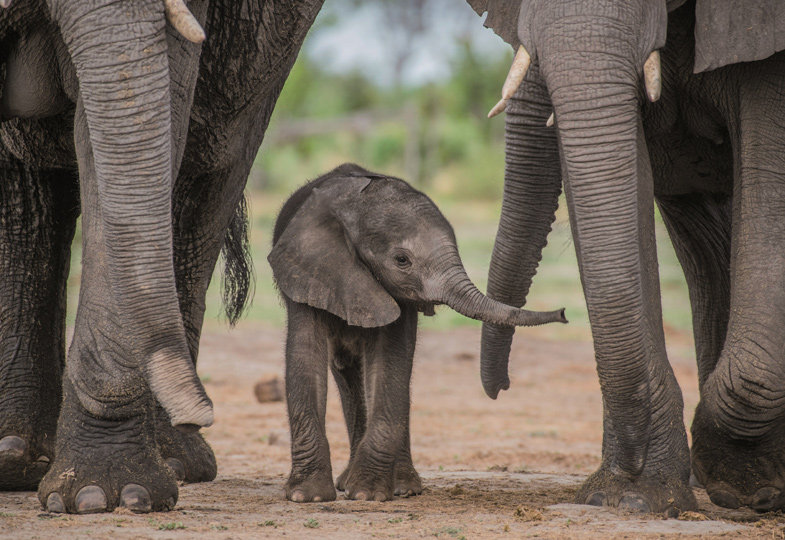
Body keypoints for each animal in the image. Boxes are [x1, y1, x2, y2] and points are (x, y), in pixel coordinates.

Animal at [0, 0, 322, 516]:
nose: (202, 413)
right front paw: (100, 494)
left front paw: (102, 496)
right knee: (24, 191)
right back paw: (14, 459)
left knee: (204, 173)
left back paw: (173, 462)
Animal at [268, 163, 564, 502]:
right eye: (402, 260)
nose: (564, 313)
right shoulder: (308, 273)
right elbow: (305, 358)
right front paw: (308, 497)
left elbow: (390, 363)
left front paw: (367, 494)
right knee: (346, 371)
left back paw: (402, 487)